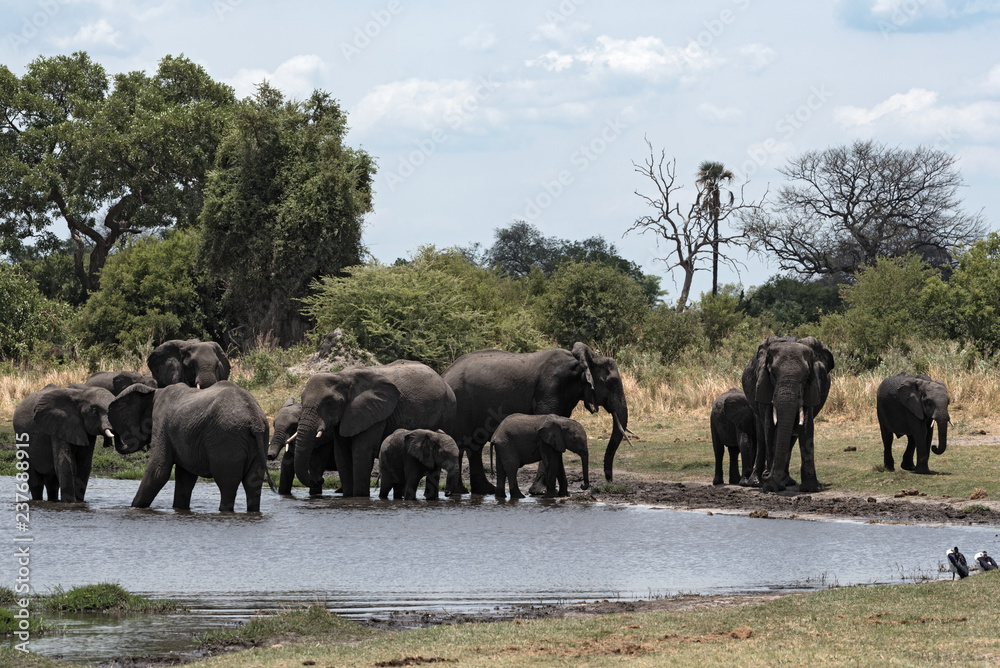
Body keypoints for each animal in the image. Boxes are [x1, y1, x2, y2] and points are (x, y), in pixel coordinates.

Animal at [108, 381, 273, 512]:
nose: (113, 432)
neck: (153, 392)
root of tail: (255, 419)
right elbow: (185, 477)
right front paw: (179, 509)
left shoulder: (162, 425)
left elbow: (158, 471)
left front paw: (133, 507)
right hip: (258, 440)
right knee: (253, 483)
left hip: (227, 438)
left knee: (227, 484)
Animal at [293, 360, 456, 497]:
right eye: (301, 399)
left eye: (328, 402)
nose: (319, 480)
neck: (342, 376)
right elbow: (341, 454)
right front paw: (348, 496)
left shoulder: (374, 414)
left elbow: (361, 452)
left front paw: (360, 497)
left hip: (448, 409)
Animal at [442, 342, 631, 495]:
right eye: (611, 383)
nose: (609, 482)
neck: (584, 360)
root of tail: (445, 373)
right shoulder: (550, 388)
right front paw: (539, 492)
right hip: (459, 404)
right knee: (462, 443)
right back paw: (461, 492)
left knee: (474, 445)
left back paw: (483, 491)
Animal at [742, 336, 835, 493]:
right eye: (772, 373)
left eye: (806, 376)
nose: (767, 473)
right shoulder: (765, 386)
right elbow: (769, 427)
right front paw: (771, 486)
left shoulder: (811, 388)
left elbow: (806, 426)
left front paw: (810, 489)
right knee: (762, 434)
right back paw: (756, 482)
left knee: (790, 437)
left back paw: (787, 481)